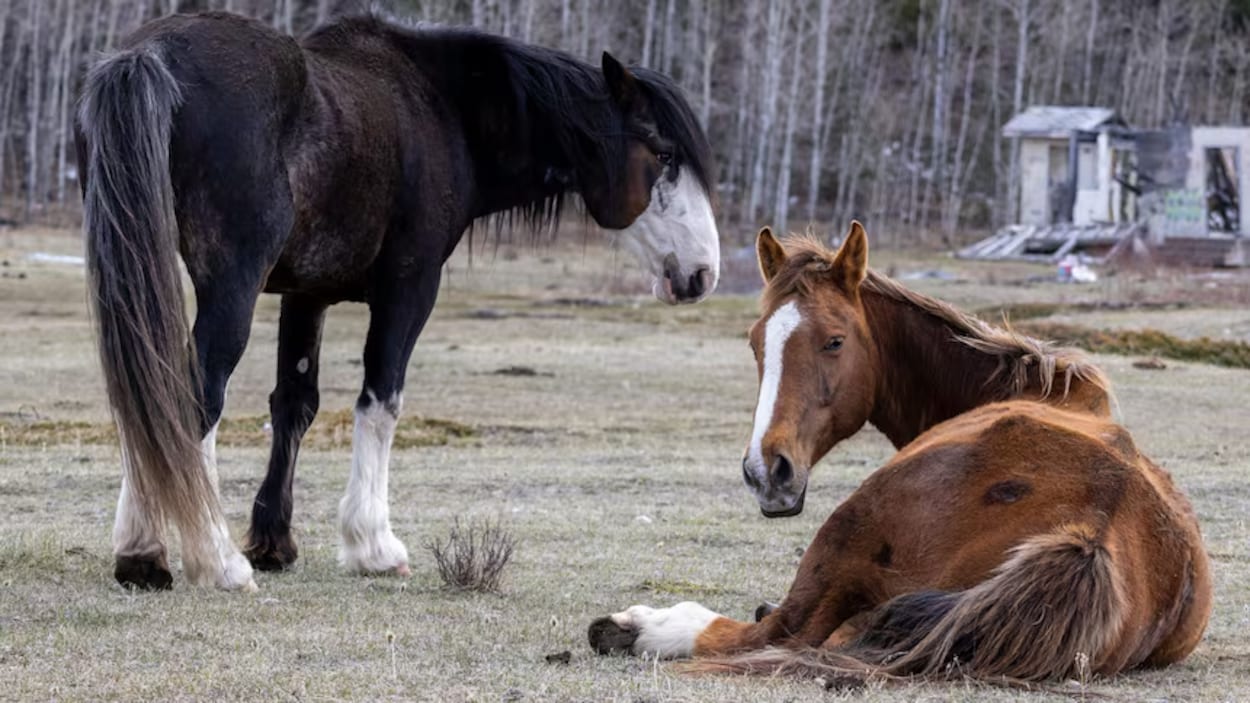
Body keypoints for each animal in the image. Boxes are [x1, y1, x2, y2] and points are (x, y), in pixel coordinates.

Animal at [75, 11, 720, 591]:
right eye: (663, 154)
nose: (703, 273)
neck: (443, 108)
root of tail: (152, 55)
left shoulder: (307, 294)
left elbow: (294, 405)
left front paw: (275, 542)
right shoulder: (409, 288)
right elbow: (380, 400)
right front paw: (372, 545)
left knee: (148, 394)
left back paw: (146, 551)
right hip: (231, 287)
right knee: (191, 397)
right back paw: (208, 559)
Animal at [588, 223, 1211, 683]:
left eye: (835, 340)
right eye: (755, 342)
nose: (767, 472)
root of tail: (1091, 533)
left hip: (846, 525)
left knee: (771, 632)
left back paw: (636, 627)